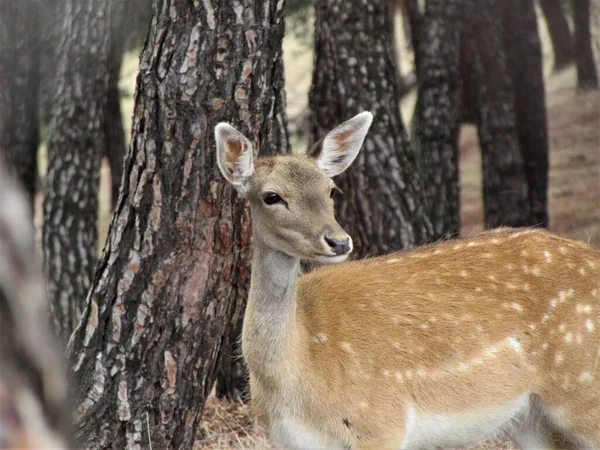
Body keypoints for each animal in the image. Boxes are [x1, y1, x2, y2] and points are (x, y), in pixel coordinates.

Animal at [216, 110, 600, 448]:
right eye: (271, 196)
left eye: (331, 190)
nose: (339, 241)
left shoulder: (380, 424)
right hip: (528, 417)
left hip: (584, 390)